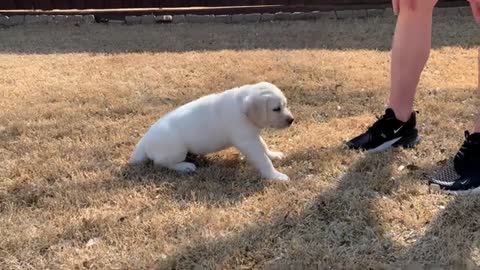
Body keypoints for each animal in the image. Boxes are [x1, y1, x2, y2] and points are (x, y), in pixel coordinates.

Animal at [131, 81, 294, 180]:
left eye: (285, 105)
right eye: (276, 109)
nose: (291, 120)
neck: (241, 108)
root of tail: (144, 141)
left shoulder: (252, 136)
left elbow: (264, 147)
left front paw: (273, 155)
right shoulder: (247, 142)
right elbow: (263, 160)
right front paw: (276, 176)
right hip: (176, 151)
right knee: (160, 163)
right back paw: (185, 166)